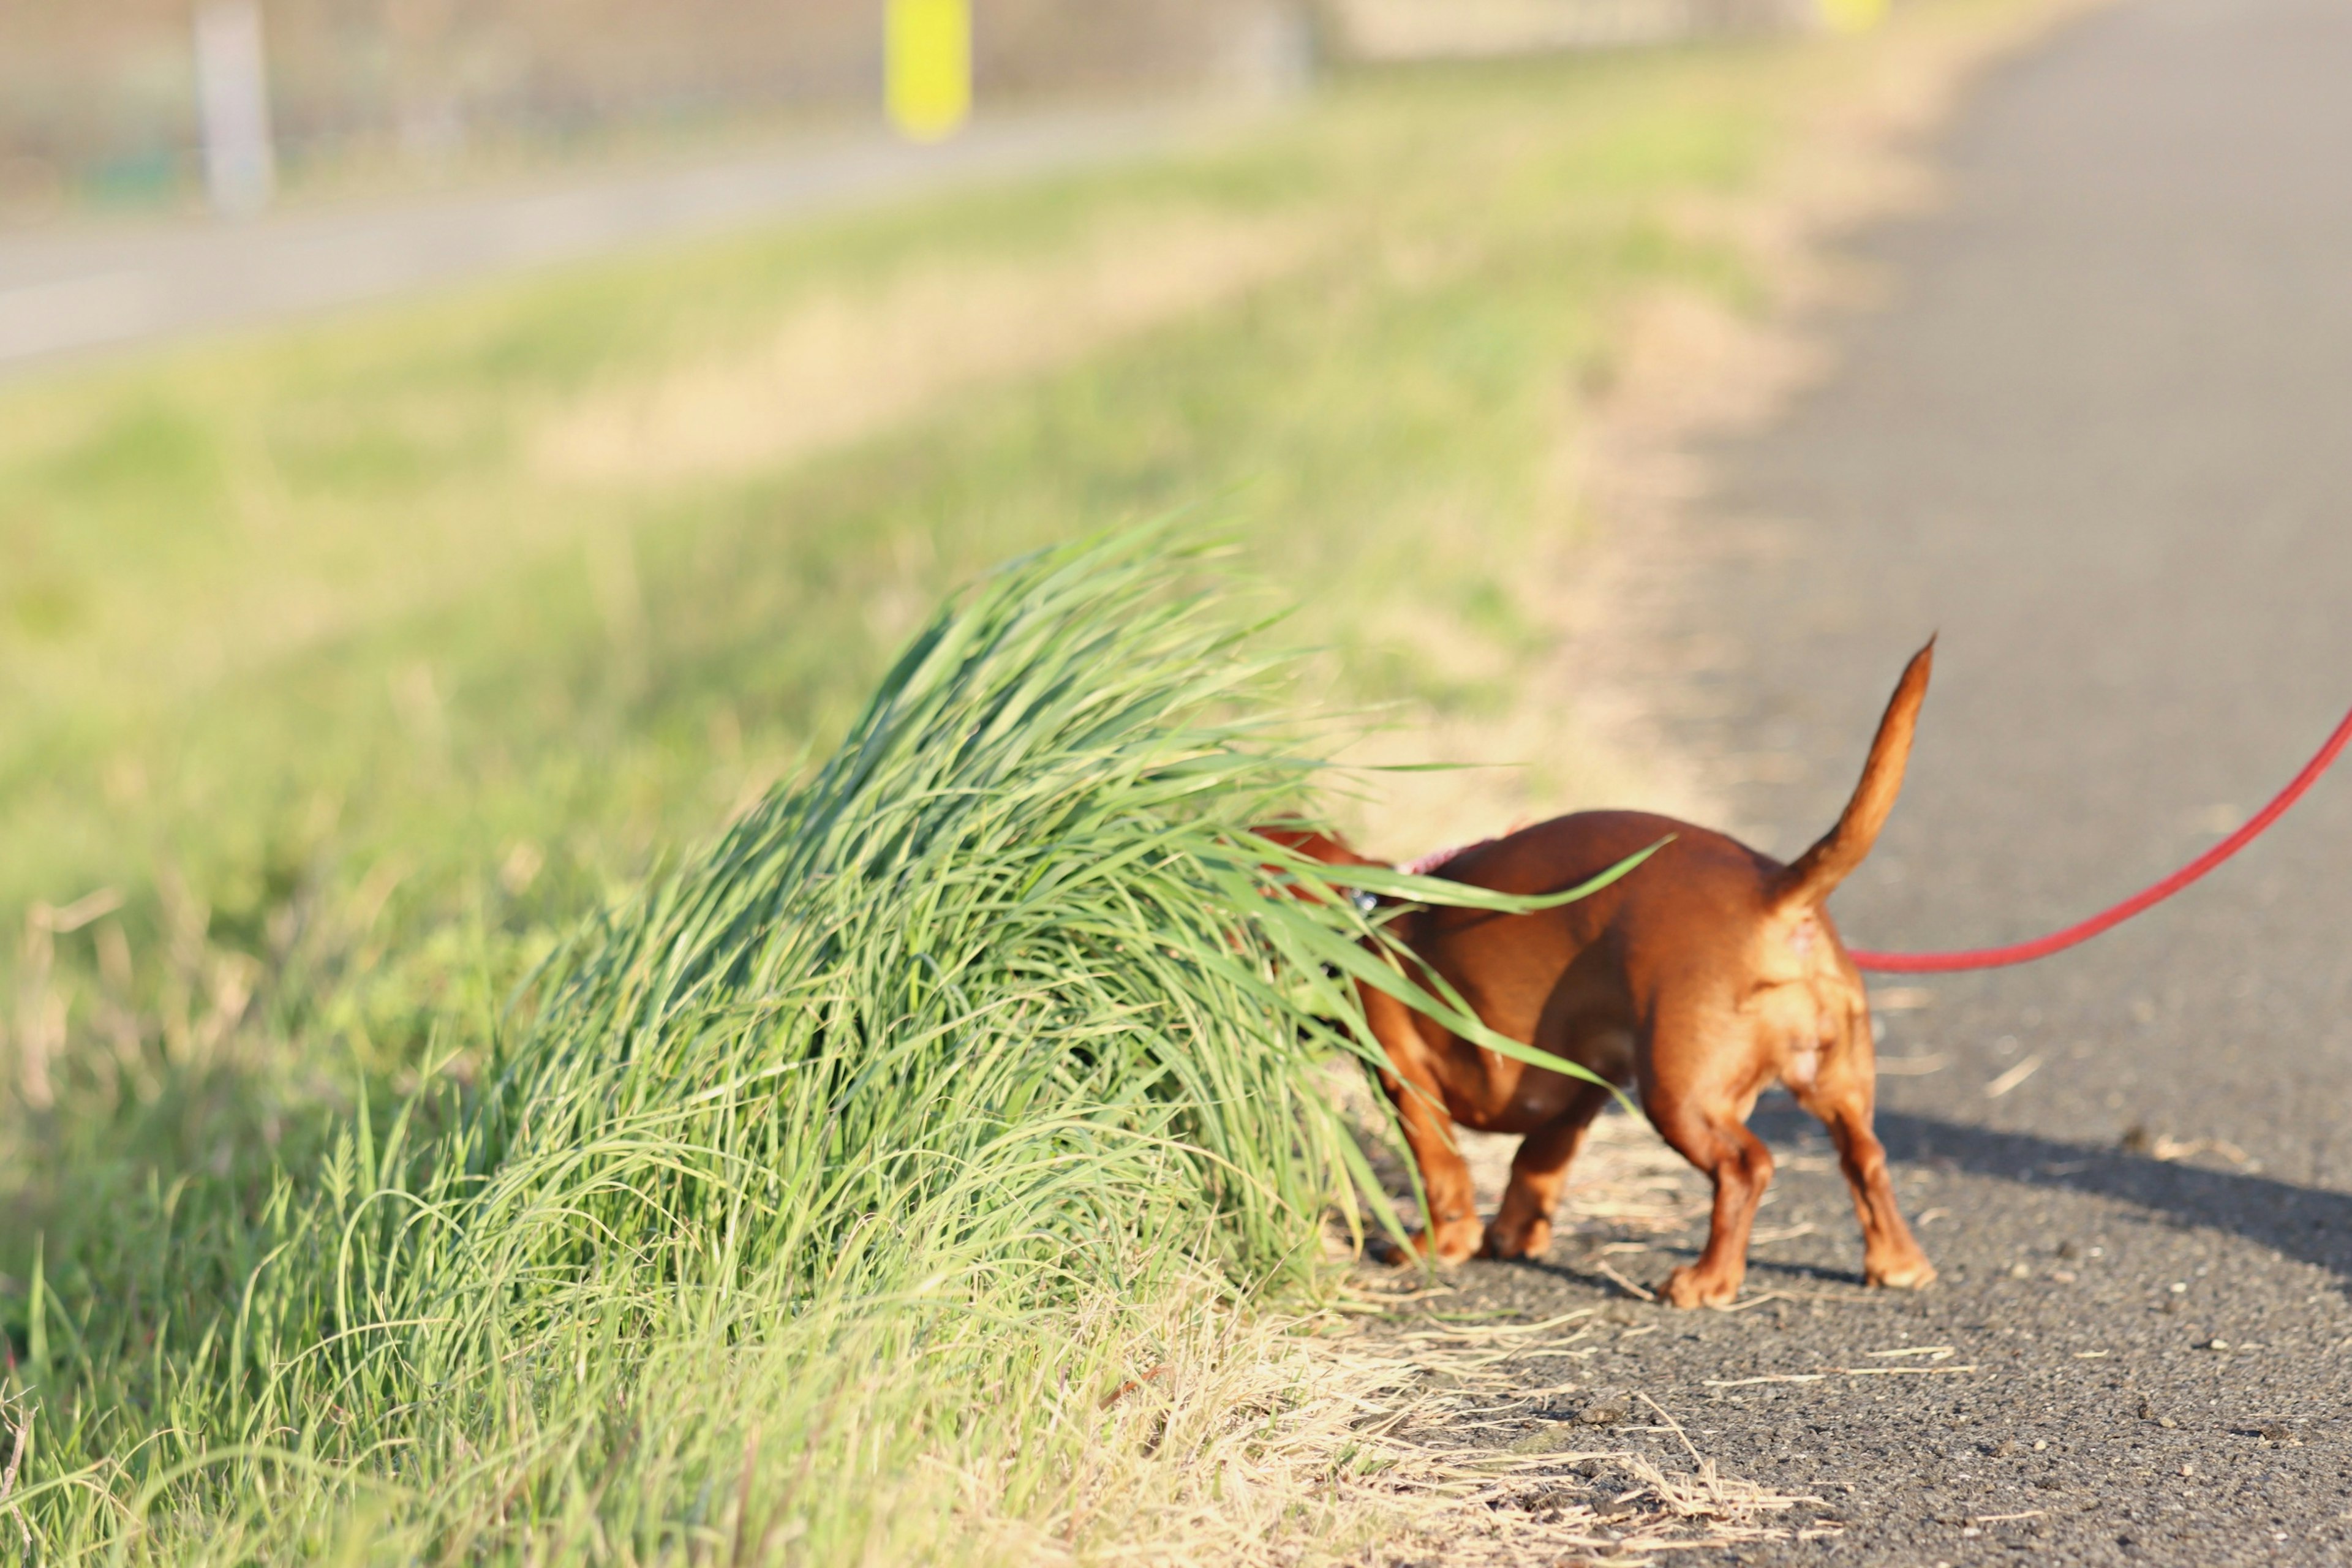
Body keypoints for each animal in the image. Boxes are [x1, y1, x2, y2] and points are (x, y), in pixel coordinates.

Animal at [1279, 644, 1938, 1306]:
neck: (1364, 906)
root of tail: (1773, 892)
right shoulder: (1586, 1081)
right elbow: (1537, 1161)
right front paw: (1514, 1235)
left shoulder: (1406, 1078)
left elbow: (1442, 1172)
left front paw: (1438, 1247)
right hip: (1836, 1080)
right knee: (1866, 1156)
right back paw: (1898, 1261)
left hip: (1681, 1095)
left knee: (1746, 1167)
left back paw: (1708, 1279)